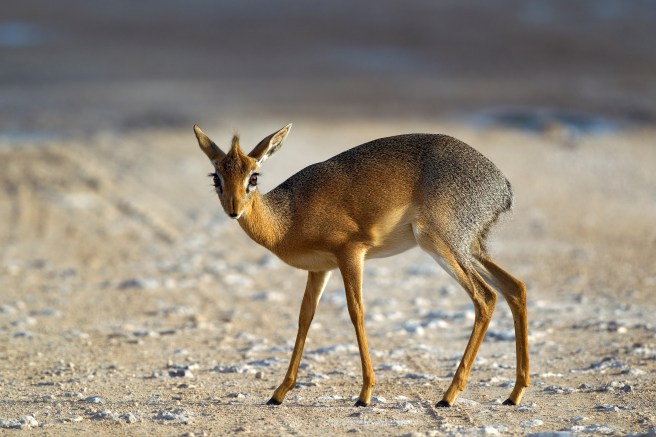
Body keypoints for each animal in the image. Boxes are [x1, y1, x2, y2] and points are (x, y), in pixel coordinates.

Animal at [193, 123, 529, 408]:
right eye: (216, 177)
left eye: (253, 176)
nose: (234, 210)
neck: (288, 217)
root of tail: (503, 186)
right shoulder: (320, 269)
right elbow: (305, 318)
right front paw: (279, 393)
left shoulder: (351, 254)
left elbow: (357, 312)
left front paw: (365, 394)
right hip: (470, 248)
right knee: (515, 287)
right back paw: (513, 394)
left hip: (441, 244)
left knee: (485, 297)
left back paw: (448, 396)